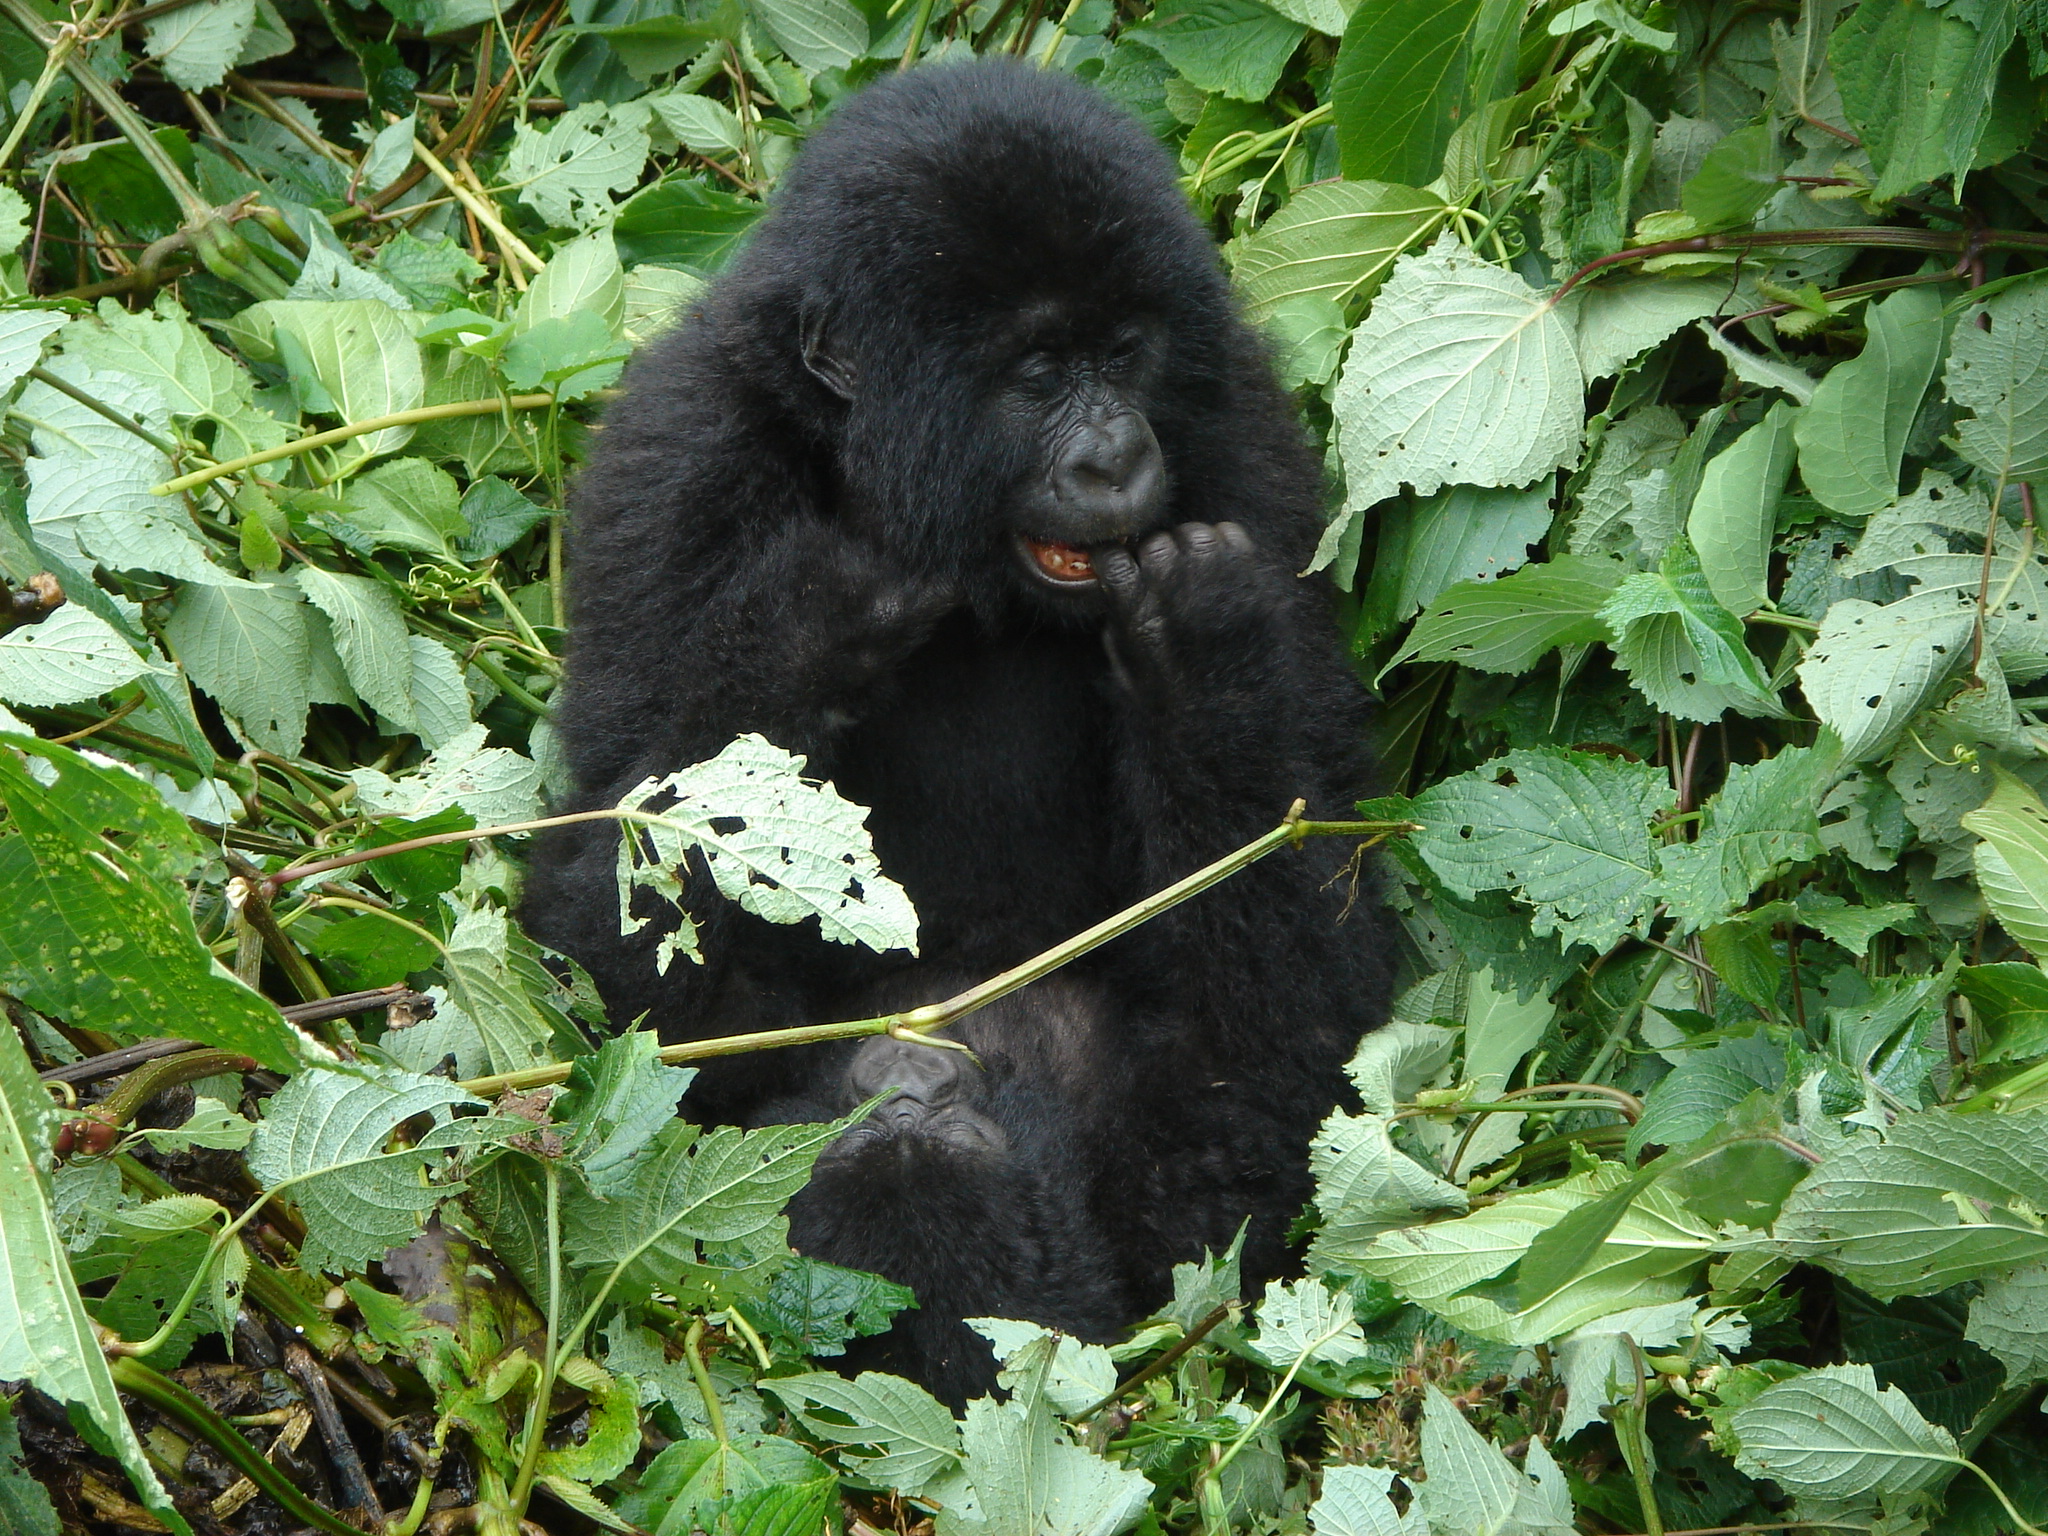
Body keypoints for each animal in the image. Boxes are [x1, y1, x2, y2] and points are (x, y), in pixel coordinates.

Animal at [520, 57, 1400, 1409]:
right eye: (1035, 376)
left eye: (1121, 354)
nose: (1114, 459)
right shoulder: (674, 454)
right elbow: (615, 930)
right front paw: (821, 614)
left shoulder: (1238, 430)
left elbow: (1317, 931)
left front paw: (1199, 662)